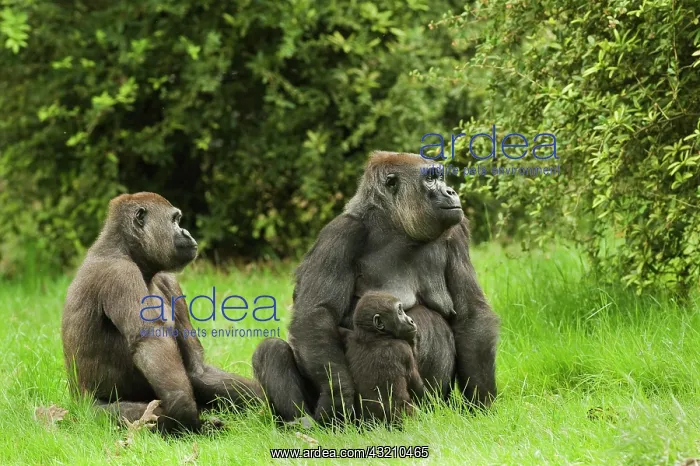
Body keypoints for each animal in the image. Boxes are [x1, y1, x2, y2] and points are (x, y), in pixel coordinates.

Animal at [61, 192, 262, 434]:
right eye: (175, 220)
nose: (186, 232)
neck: (125, 249)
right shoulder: (119, 273)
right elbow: (149, 340)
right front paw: (186, 417)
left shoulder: (169, 280)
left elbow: (196, 369)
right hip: (89, 413)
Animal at [337, 292, 424, 425]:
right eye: (399, 312)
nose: (411, 320)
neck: (374, 336)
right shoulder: (403, 348)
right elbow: (416, 385)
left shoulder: (350, 337)